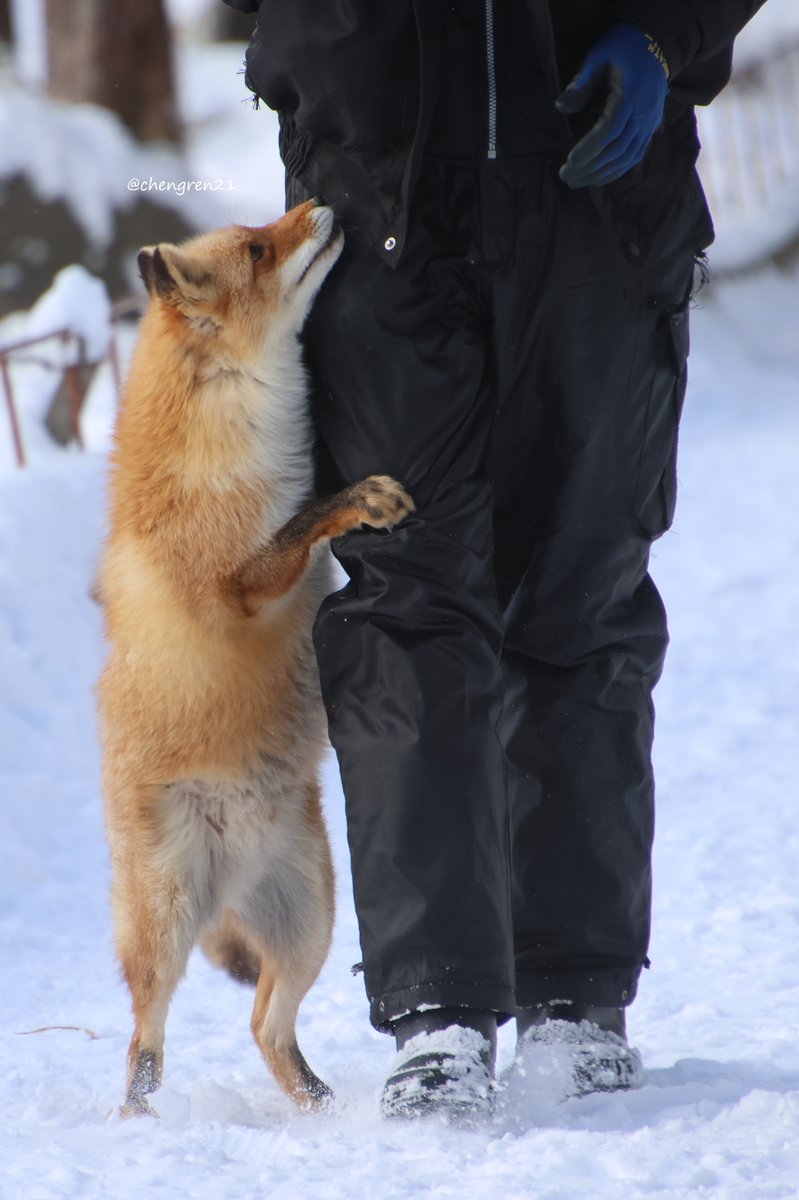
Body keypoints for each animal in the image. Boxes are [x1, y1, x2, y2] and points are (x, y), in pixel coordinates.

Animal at [96, 201, 412, 1118]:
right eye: (260, 250)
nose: (321, 205)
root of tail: (224, 883)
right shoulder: (234, 583)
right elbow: (305, 521)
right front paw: (358, 502)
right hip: (164, 925)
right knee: (144, 1036)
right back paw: (138, 1120)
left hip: (310, 917)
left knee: (266, 1029)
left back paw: (322, 1108)